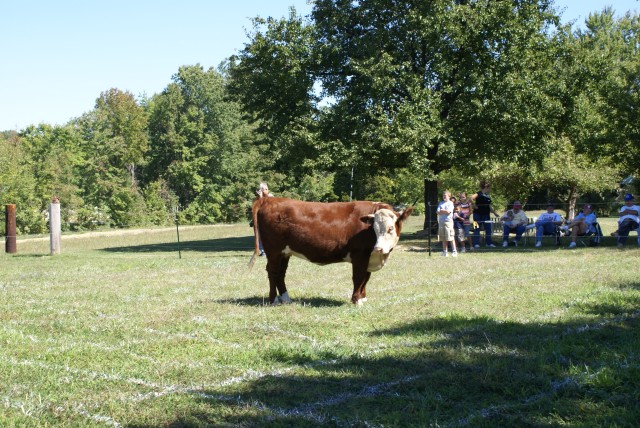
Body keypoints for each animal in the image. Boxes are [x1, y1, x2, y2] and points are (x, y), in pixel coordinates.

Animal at [248, 197, 413, 305]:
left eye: (390, 228)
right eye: (375, 229)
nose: (378, 248)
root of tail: (270, 199)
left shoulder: (369, 256)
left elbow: (366, 278)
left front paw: (363, 297)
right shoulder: (360, 255)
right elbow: (358, 277)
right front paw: (356, 300)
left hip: (285, 252)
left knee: (281, 274)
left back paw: (286, 298)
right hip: (273, 250)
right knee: (273, 272)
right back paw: (273, 300)